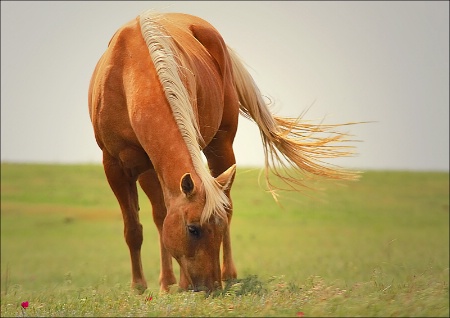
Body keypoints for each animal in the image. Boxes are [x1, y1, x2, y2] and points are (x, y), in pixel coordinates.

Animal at [88, 9, 358, 294]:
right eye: (193, 229)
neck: (132, 71)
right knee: (159, 215)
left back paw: (226, 274)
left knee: (223, 203)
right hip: (149, 169)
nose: (211, 288)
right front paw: (140, 288)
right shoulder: (115, 166)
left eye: (216, 229)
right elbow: (134, 228)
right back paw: (167, 282)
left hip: (221, 146)